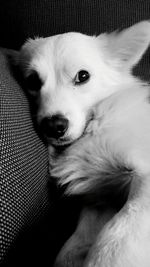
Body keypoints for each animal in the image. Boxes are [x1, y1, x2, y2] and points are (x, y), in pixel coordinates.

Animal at [15, 21, 150, 267]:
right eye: (32, 81)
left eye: (83, 76)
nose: (53, 126)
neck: (98, 122)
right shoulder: (99, 200)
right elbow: (70, 250)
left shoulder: (143, 179)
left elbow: (115, 240)